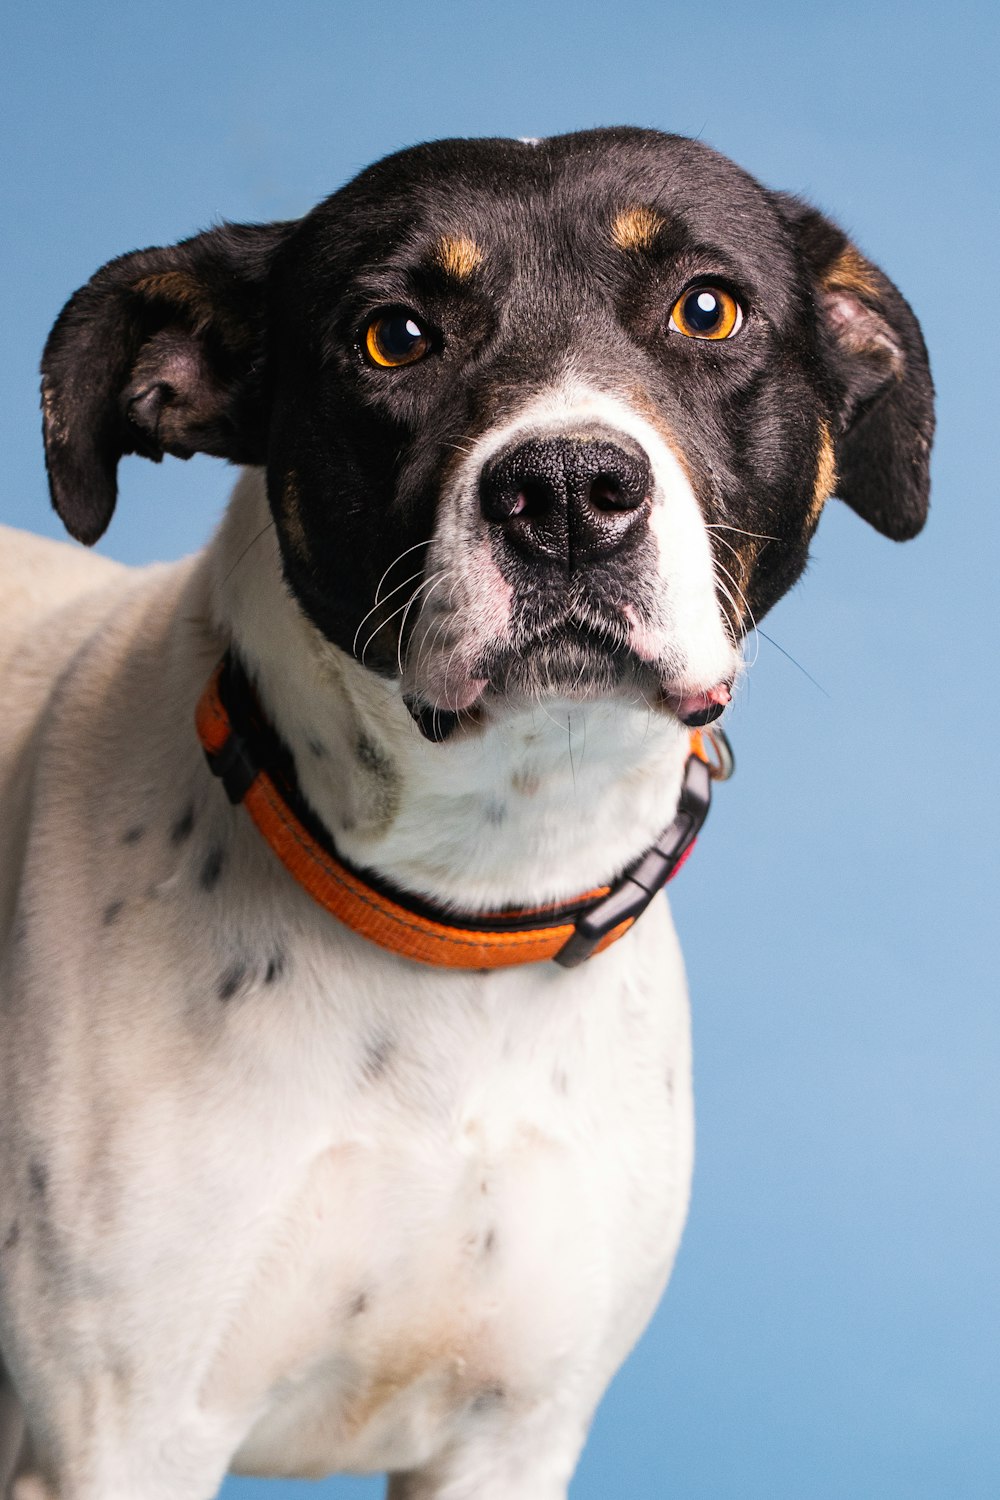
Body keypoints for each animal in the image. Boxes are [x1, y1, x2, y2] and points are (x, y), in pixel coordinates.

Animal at [0, 132, 935, 1500]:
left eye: (707, 308)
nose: (569, 491)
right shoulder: (118, 1438)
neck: (468, 907)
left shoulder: (514, 1437)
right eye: (393, 336)